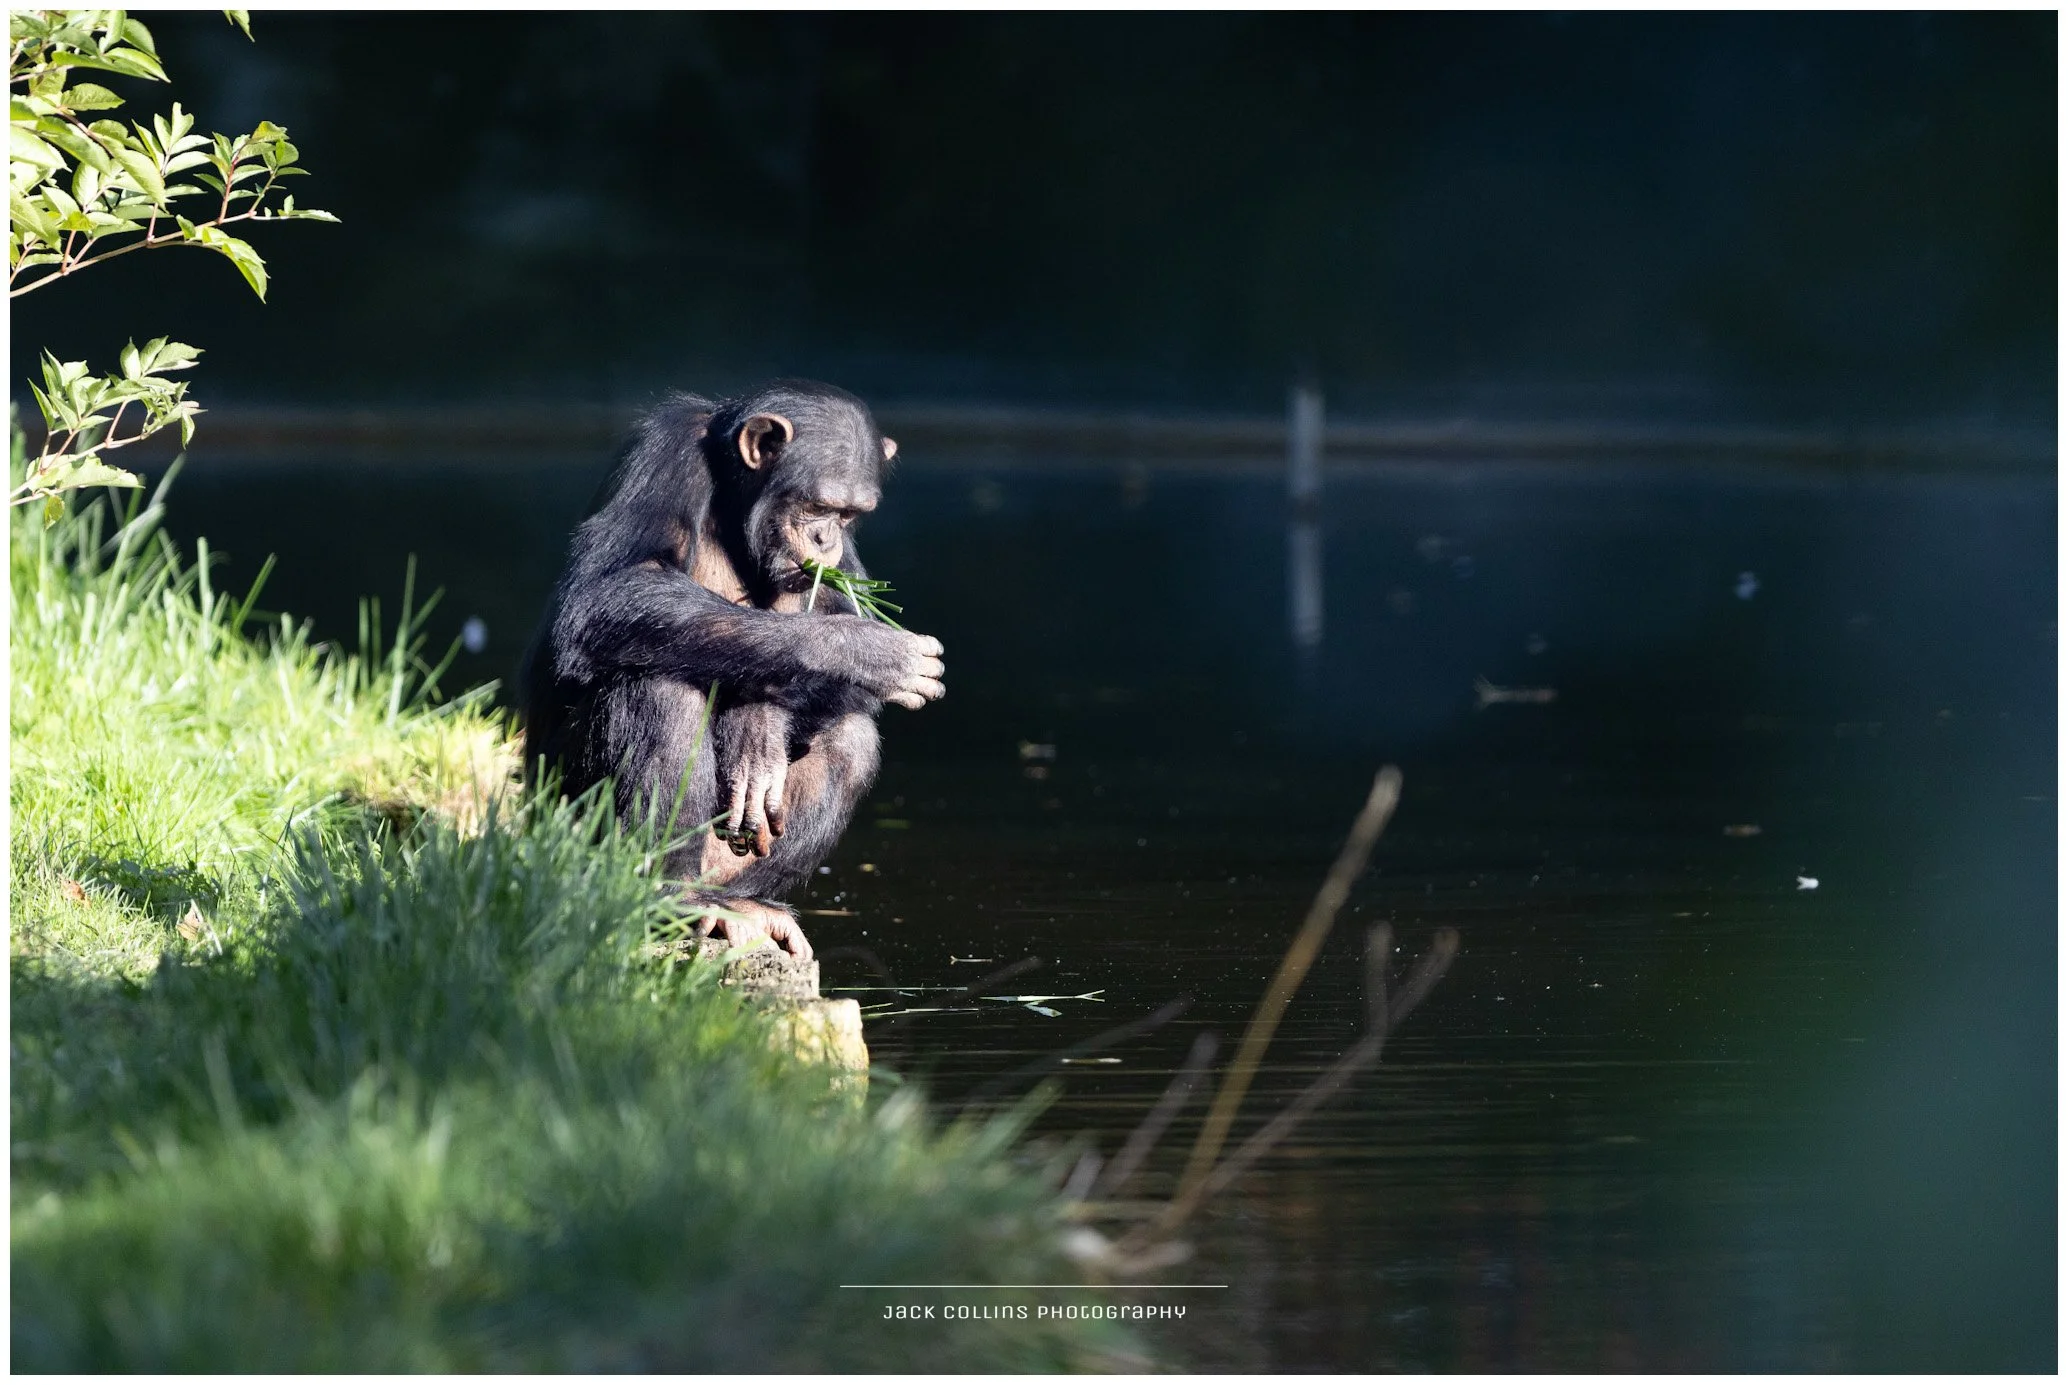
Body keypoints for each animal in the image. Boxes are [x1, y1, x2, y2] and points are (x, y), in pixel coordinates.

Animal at [520, 380, 945, 960]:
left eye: (848, 516)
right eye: (817, 507)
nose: (826, 539)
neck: (734, 500)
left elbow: (843, 638)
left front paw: (757, 724)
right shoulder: (665, 452)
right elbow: (608, 589)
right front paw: (860, 650)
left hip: (724, 860)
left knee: (850, 740)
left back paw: (745, 904)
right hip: (562, 828)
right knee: (659, 693)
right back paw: (668, 895)